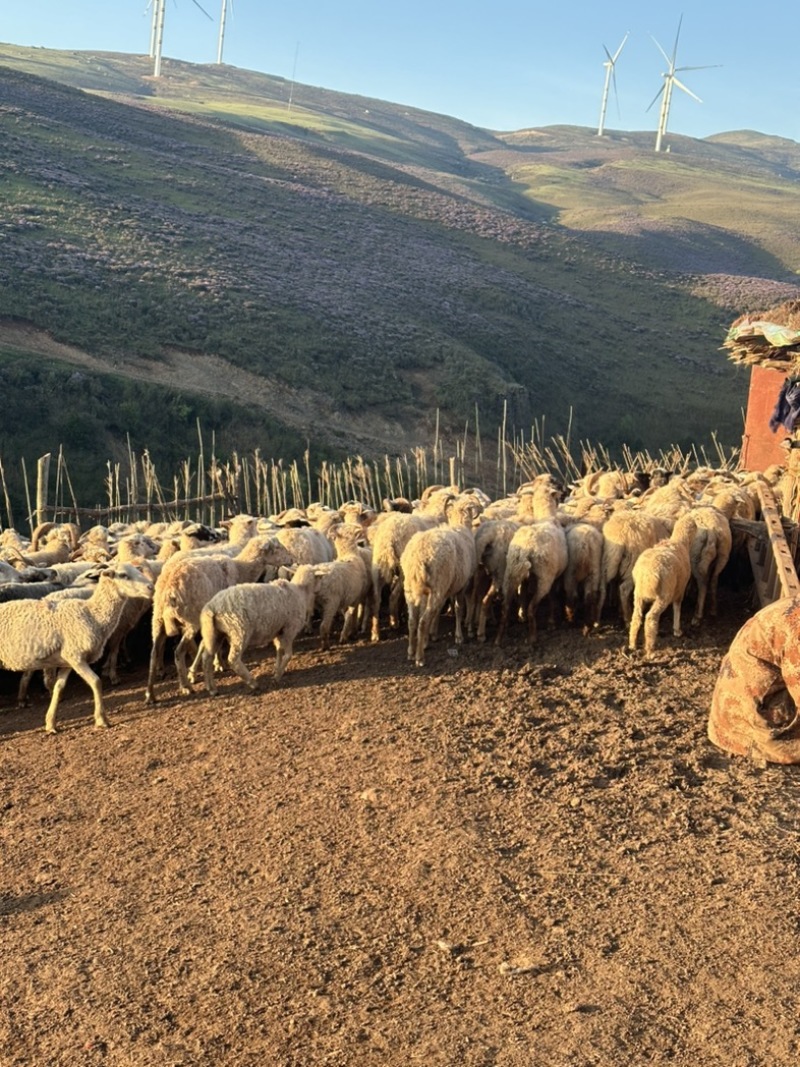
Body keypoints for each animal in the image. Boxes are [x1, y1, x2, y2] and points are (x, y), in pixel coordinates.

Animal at [0, 567, 153, 734]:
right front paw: (102, 719)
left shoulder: (67, 661)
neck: (93, 614)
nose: (151, 587)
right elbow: (96, 682)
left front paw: (51, 724)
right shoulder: (76, 657)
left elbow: (59, 688)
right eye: (123, 575)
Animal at [145, 533, 294, 699]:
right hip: (190, 620)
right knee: (178, 652)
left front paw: (212, 665)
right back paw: (186, 686)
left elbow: (207, 643)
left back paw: (150, 694)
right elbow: (211, 644)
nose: (291, 558)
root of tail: (168, 591)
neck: (240, 568)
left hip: (157, 620)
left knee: (153, 654)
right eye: (277, 547)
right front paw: (212, 666)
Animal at [398, 492, 480, 665]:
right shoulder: (461, 585)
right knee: (422, 621)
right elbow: (458, 609)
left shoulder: (445, 589)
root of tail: (419, 557)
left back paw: (411, 651)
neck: (461, 527)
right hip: (437, 587)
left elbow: (437, 611)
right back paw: (419, 658)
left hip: (411, 588)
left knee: (412, 620)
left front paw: (429, 638)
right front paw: (458, 637)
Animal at [631, 512, 699, 653]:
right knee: (651, 618)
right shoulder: (680, 588)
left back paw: (632, 645)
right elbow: (677, 607)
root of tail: (647, 575)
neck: (679, 541)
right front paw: (677, 630)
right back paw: (650, 648)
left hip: (638, 595)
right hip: (664, 595)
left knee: (636, 617)